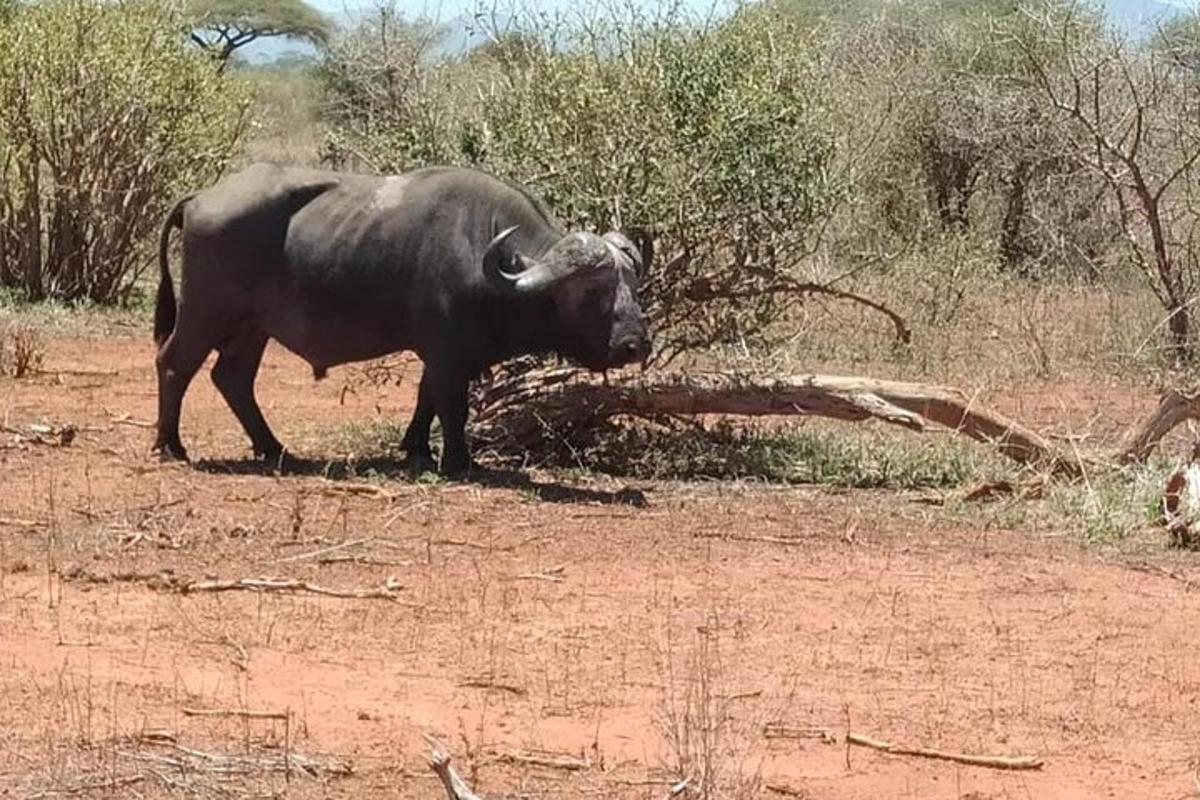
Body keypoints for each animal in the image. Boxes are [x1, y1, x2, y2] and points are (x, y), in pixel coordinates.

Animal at [153, 164, 652, 474]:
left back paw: (274, 449)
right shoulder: (448, 353)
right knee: (175, 363)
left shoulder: (442, 354)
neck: (487, 256)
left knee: (232, 378)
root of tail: (200, 197)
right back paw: (170, 445)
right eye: (593, 291)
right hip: (206, 311)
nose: (635, 344)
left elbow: (425, 398)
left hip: (252, 327)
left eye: (632, 285)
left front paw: (417, 450)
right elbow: (451, 405)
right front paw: (458, 461)